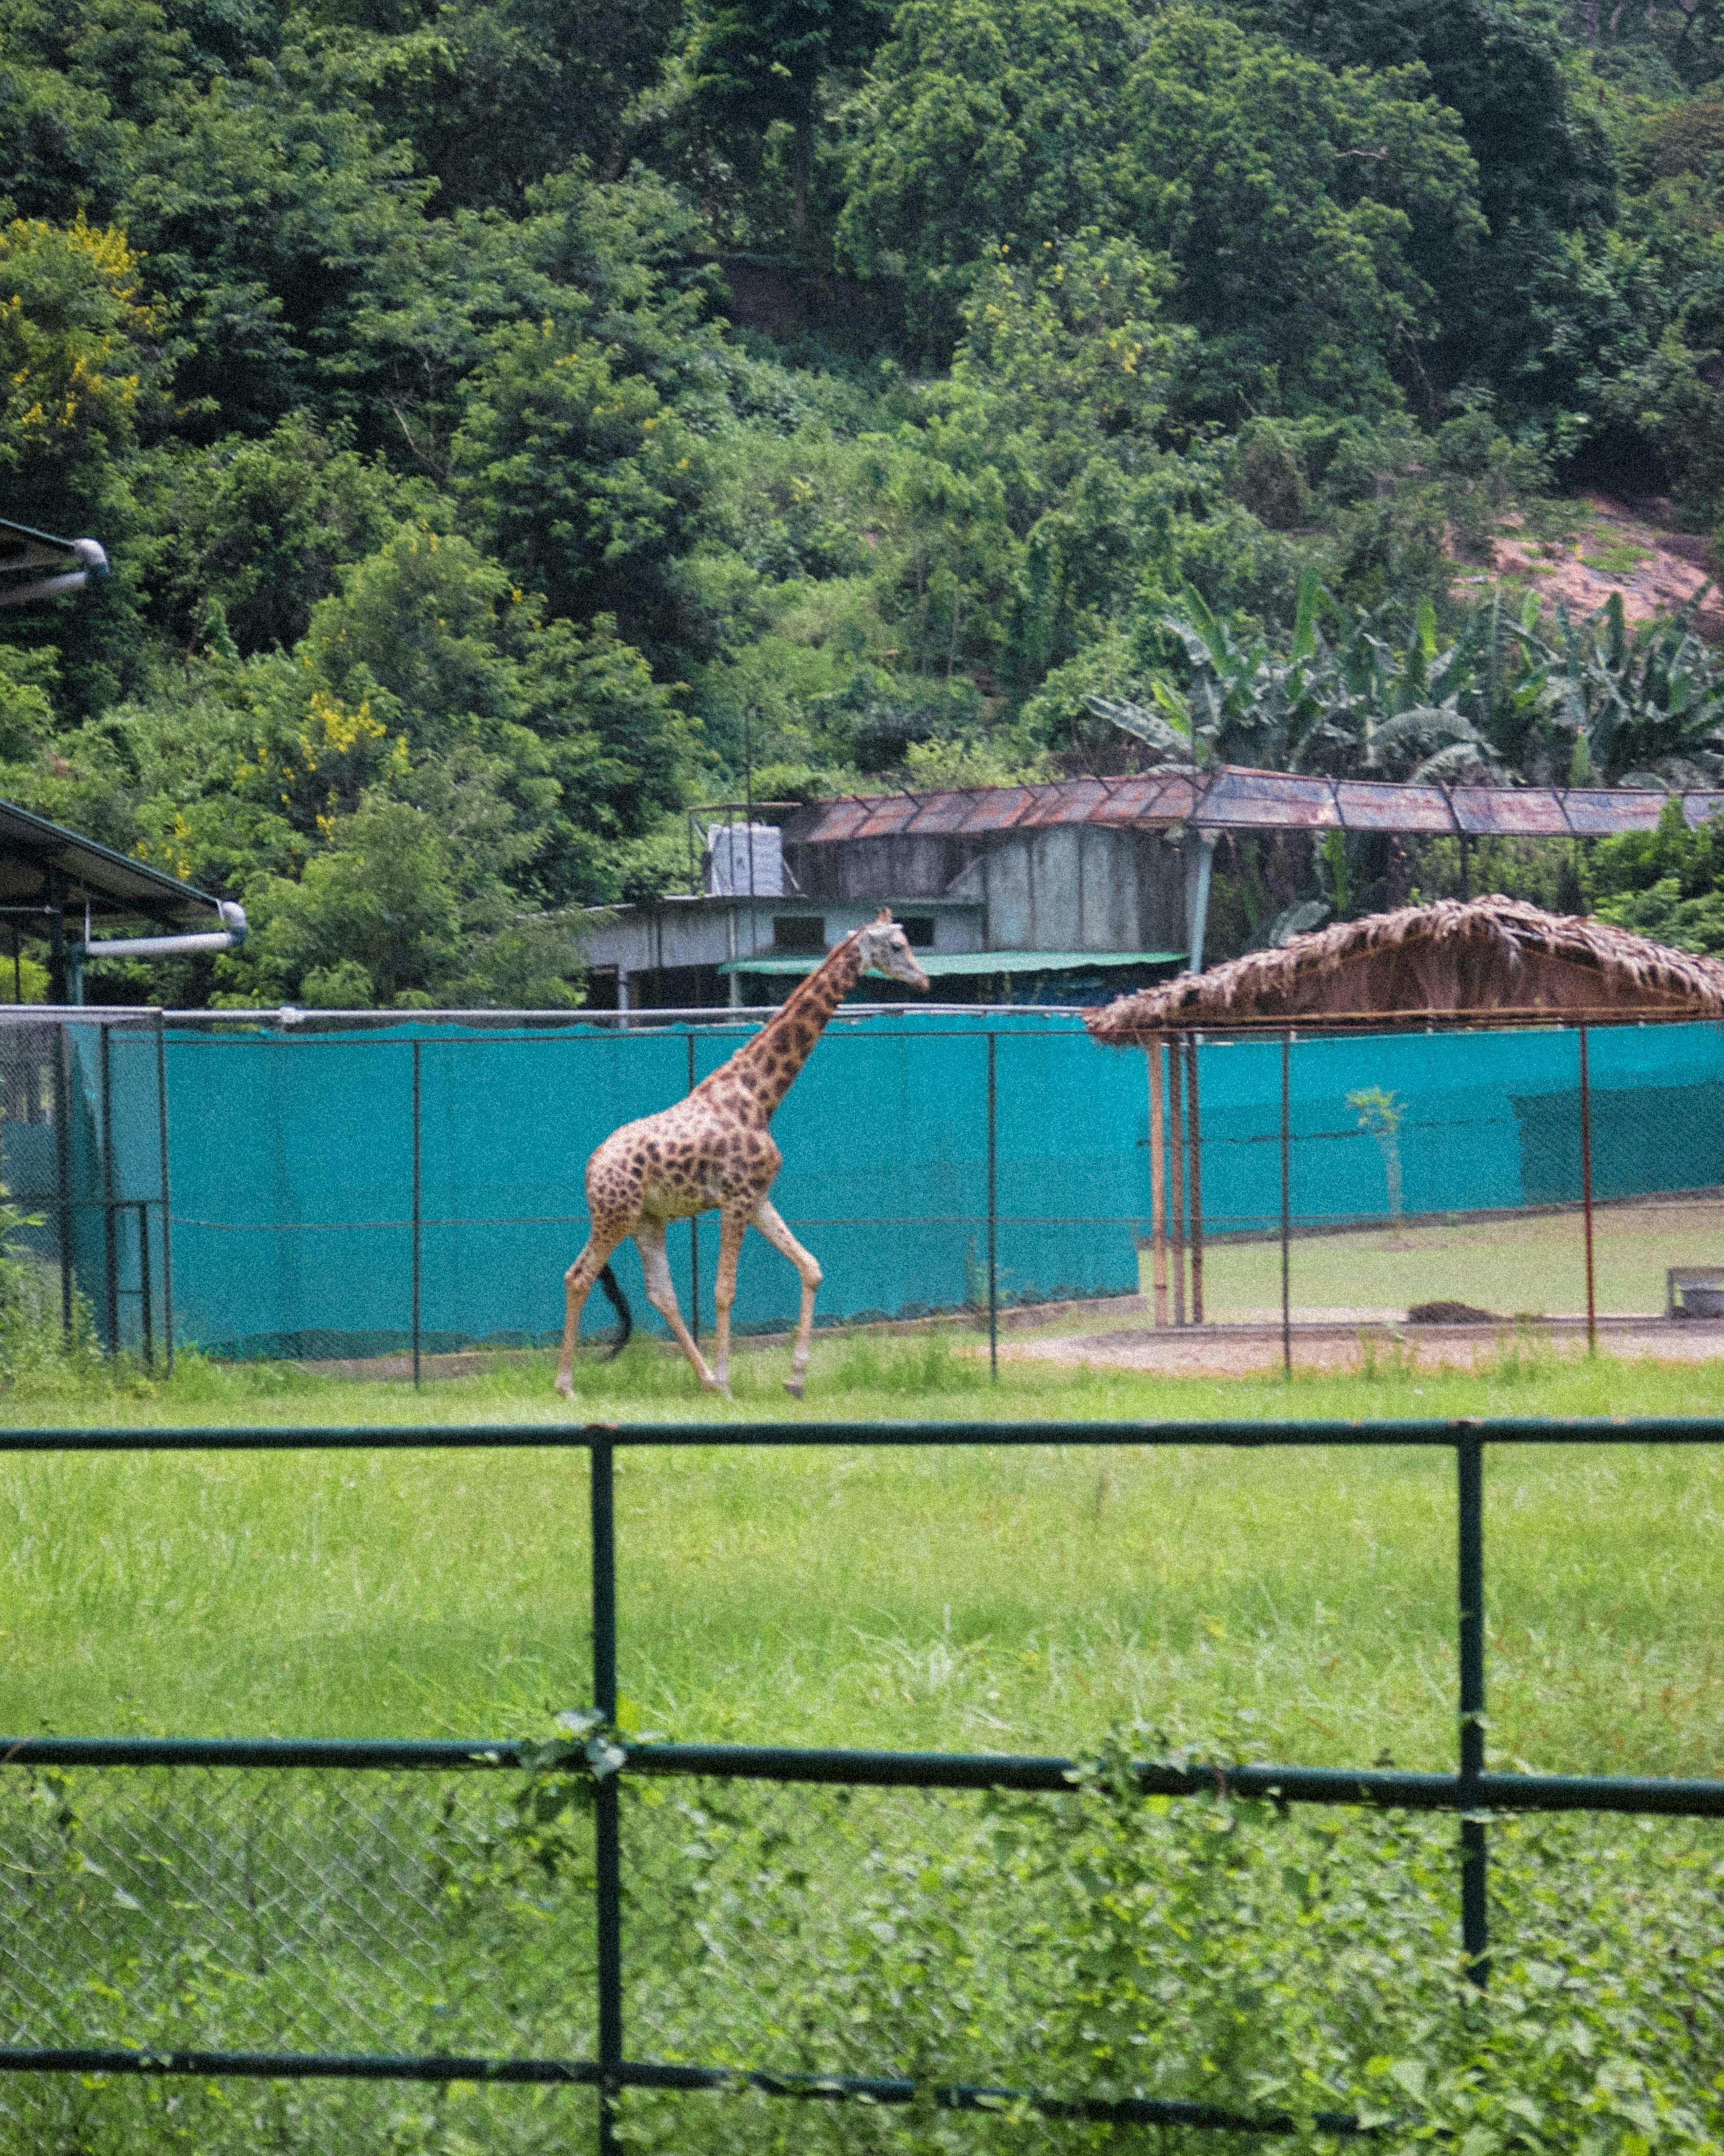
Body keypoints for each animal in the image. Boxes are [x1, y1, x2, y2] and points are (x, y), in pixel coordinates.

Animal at [555, 910, 930, 1399]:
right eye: (898, 946)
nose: (924, 980)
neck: (760, 1097)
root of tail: (591, 1168)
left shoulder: (757, 1197)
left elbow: (811, 1267)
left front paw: (794, 1379)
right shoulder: (735, 1198)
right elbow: (724, 1290)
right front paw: (733, 1383)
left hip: (645, 1220)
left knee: (661, 1293)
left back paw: (706, 1381)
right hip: (615, 1215)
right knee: (579, 1276)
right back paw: (568, 1385)